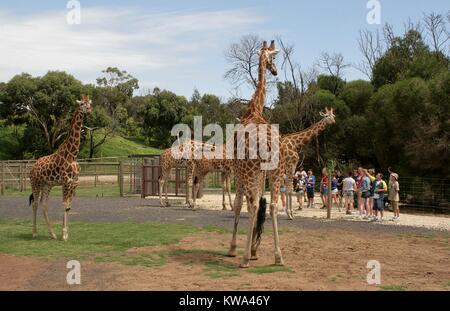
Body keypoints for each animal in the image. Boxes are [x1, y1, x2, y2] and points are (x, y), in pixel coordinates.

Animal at [28, 94, 92, 241]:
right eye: (82, 104)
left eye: (90, 103)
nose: (90, 111)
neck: (73, 155)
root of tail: (32, 167)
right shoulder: (66, 181)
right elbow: (64, 205)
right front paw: (64, 234)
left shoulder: (74, 182)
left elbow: (69, 206)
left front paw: (65, 233)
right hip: (35, 183)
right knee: (35, 204)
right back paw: (34, 233)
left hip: (47, 185)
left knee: (44, 204)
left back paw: (52, 234)